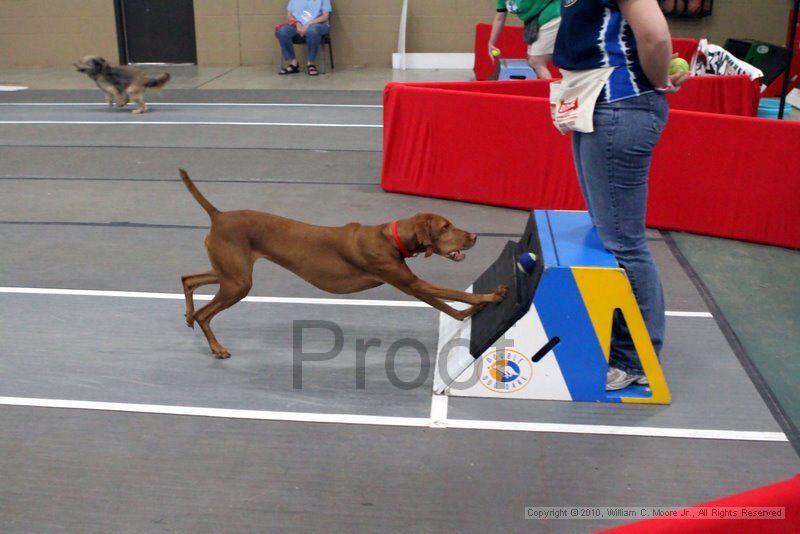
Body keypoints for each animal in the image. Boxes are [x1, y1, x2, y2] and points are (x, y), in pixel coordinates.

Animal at [180, 170, 506, 358]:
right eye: (445, 226)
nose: (474, 236)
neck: (391, 238)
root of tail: (219, 215)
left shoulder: (411, 284)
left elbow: (451, 308)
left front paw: (472, 311)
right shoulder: (410, 283)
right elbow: (455, 296)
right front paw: (490, 297)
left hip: (229, 274)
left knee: (188, 279)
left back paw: (188, 315)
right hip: (238, 282)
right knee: (205, 314)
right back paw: (216, 347)